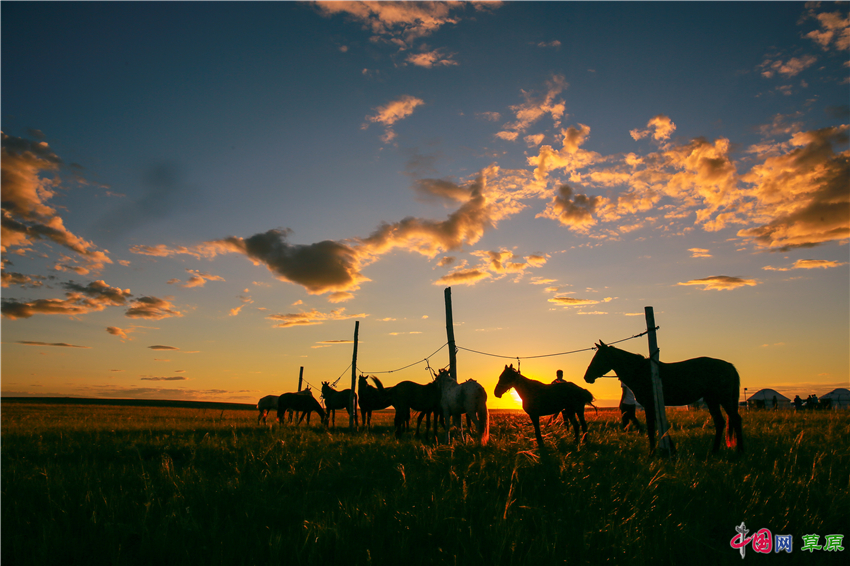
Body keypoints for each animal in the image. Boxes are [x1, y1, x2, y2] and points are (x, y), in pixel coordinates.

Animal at [584, 342, 744, 458]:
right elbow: (661, 427)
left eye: (599, 357)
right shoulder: (653, 406)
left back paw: (739, 452)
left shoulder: (649, 405)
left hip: (723, 399)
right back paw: (714, 451)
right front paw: (672, 450)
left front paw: (652, 453)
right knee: (720, 422)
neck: (641, 371)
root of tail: (729, 365)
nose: (587, 377)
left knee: (735, 419)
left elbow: (650, 428)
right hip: (712, 400)